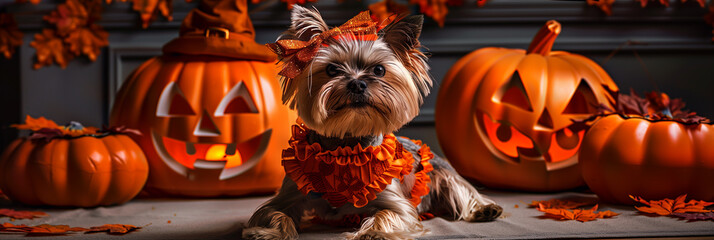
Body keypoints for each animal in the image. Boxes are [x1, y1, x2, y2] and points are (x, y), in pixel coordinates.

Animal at [243, 6, 500, 240]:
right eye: (332, 69)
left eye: (378, 70)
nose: (357, 83)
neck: (346, 145)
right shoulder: (289, 193)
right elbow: (273, 212)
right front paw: (268, 232)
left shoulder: (395, 201)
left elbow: (387, 214)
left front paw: (373, 232)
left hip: (442, 171)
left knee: (462, 189)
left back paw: (485, 209)